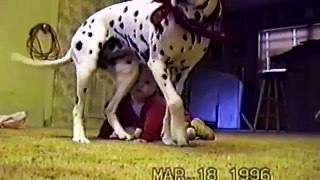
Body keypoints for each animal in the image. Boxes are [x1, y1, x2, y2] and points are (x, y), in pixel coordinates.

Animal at [11, 0, 221, 146]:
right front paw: (180, 136)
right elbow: (176, 103)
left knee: (110, 108)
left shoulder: (181, 74)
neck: (190, 21)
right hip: (86, 71)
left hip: (129, 76)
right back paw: (80, 137)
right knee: (77, 109)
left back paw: (121, 133)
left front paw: (169, 137)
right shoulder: (157, 64)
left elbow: (169, 107)